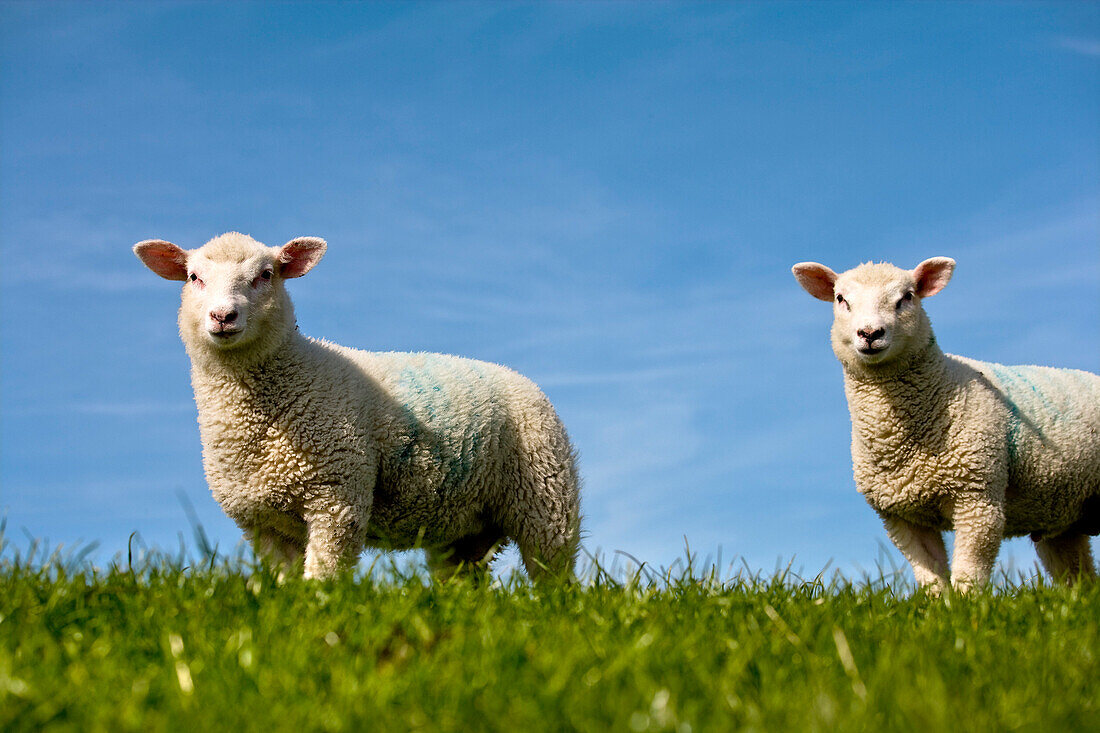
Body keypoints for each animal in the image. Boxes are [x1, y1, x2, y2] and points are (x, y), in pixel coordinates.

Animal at [133, 231, 580, 581]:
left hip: (547, 499)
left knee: (554, 576)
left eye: (266, 275)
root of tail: (518, 376)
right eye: (194, 277)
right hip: (461, 533)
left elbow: (324, 576)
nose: (223, 316)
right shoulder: (262, 523)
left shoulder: (337, 497)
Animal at [796, 255, 1095, 589]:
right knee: (1077, 574)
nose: (870, 333)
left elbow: (969, 571)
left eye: (907, 297)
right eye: (841, 299)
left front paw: (969, 601)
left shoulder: (978, 498)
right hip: (1063, 516)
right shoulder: (902, 516)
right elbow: (931, 577)